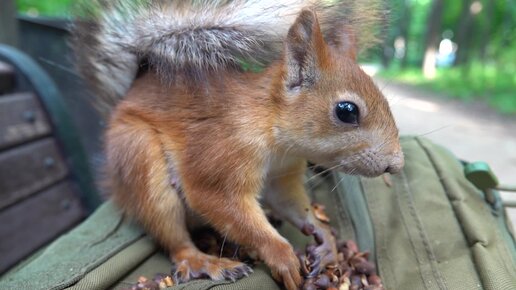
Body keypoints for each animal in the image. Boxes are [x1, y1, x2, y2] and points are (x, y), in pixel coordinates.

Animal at [71, 1, 404, 288]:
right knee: (175, 240)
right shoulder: (221, 158)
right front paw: (282, 255)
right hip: (140, 159)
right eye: (346, 111)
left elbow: (291, 203)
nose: (397, 165)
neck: (270, 130)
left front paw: (325, 238)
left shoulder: (282, 175)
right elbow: (223, 205)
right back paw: (207, 262)